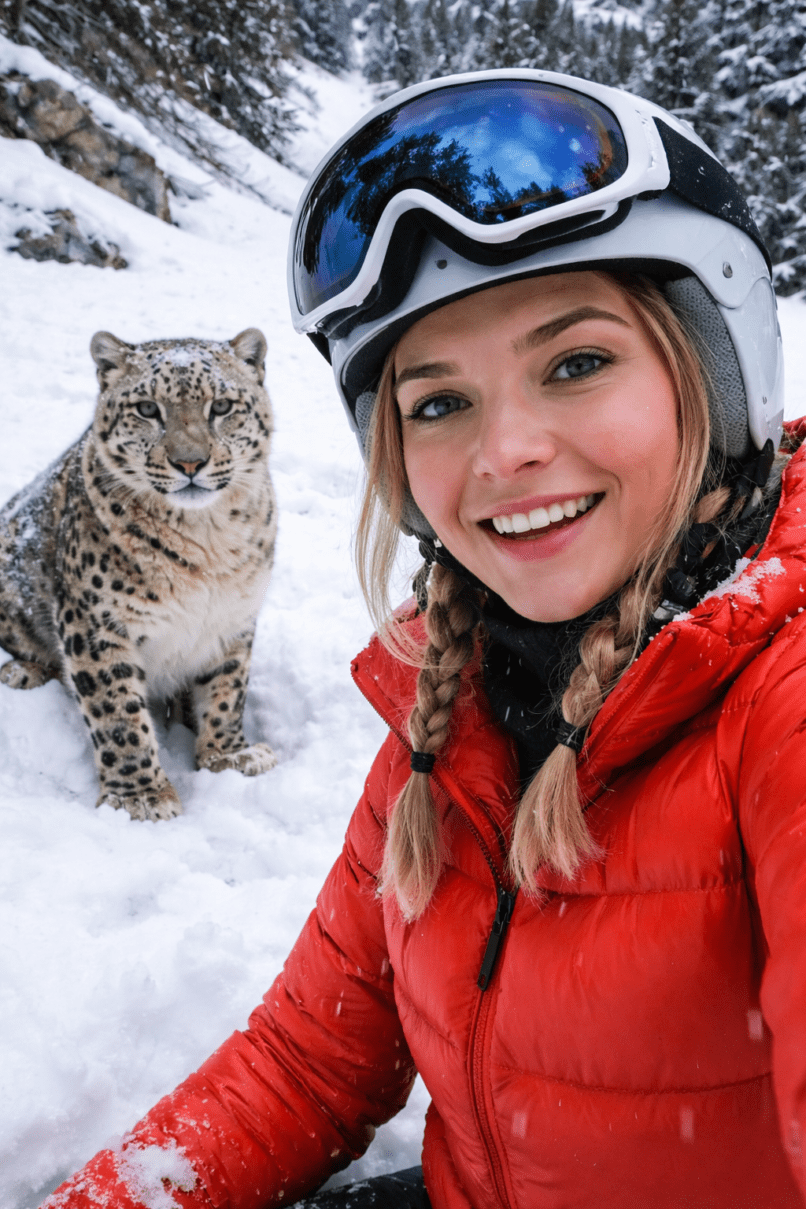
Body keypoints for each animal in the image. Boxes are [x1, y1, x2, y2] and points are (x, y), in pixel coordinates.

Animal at [0, 327, 278, 821]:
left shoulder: (234, 618)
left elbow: (227, 689)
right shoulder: (96, 626)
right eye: (148, 409)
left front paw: (229, 756)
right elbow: (115, 713)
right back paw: (21, 673)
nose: (190, 463)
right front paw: (141, 798)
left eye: (222, 406)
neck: (208, 543)